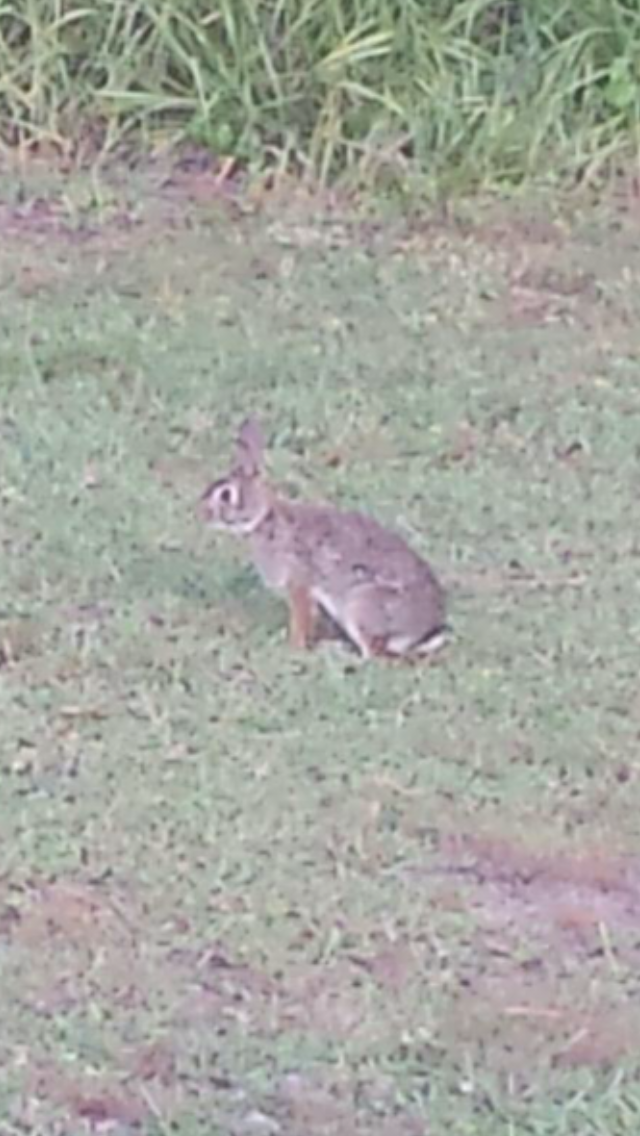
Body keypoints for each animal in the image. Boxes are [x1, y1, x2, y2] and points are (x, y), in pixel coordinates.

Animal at [202, 422, 447, 663]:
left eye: (226, 495)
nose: (202, 513)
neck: (265, 519)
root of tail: (424, 632)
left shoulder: (298, 582)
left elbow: (301, 618)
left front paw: (294, 648)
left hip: (361, 606)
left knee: (373, 654)